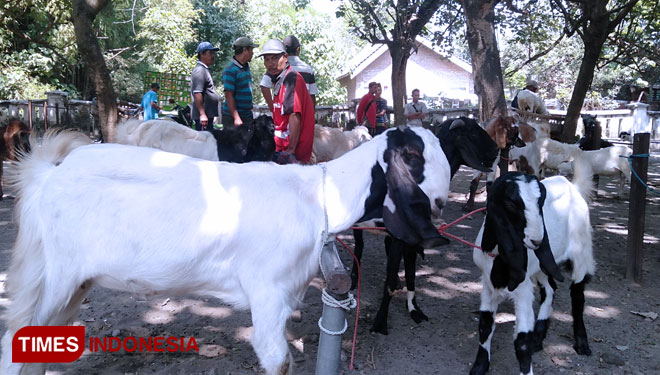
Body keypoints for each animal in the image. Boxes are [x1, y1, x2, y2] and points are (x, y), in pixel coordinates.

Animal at [0, 127, 452, 375]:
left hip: (74, 285)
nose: (442, 202)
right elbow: (278, 360)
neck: (317, 196)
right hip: (53, 277)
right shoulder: (267, 292)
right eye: (415, 156)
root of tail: (47, 175)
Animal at [354, 117, 498, 334]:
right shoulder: (401, 238)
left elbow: (411, 275)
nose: (496, 149)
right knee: (358, 247)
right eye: (472, 132)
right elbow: (389, 281)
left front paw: (414, 310)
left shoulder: (412, 240)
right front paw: (380, 322)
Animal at [472, 158, 596, 375]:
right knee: (550, 288)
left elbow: (521, 341)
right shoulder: (488, 284)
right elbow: (485, 324)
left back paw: (581, 343)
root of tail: (575, 188)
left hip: (581, 252)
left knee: (577, 295)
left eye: (540, 202)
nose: (537, 241)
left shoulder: (522, 290)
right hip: (543, 265)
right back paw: (538, 338)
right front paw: (480, 366)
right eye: (510, 203)